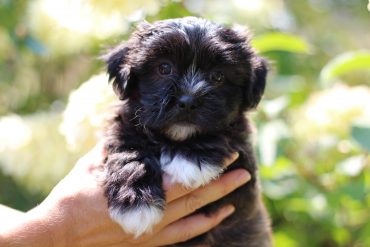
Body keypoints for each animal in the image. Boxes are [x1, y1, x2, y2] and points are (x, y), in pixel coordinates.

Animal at [102, 17, 270, 247]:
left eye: (218, 76)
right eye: (164, 68)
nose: (188, 101)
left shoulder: (243, 178)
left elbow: (226, 133)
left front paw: (190, 157)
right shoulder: (124, 126)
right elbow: (128, 151)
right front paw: (135, 202)